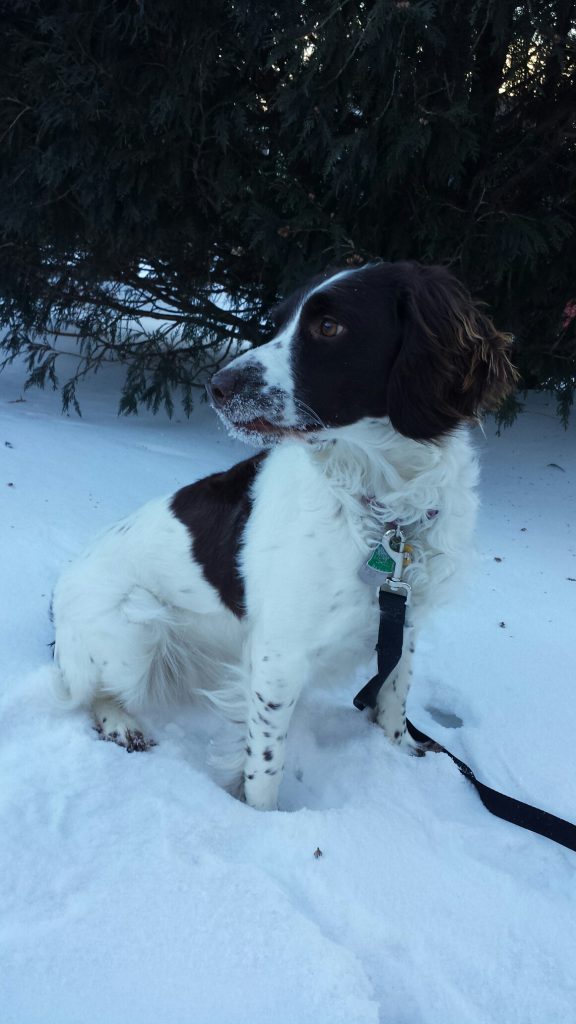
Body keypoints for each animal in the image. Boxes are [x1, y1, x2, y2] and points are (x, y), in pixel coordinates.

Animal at [51, 262, 512, 806]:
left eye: (329, 326)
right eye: (278, 322)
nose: (216, 386)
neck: (387, 512)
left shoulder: (406, 620)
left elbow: (395, 697)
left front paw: (401, 755)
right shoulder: (279, 654)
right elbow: (267, 762)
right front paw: (261, 820)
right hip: (135, 626)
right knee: (84, 690)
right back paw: (121, 723)